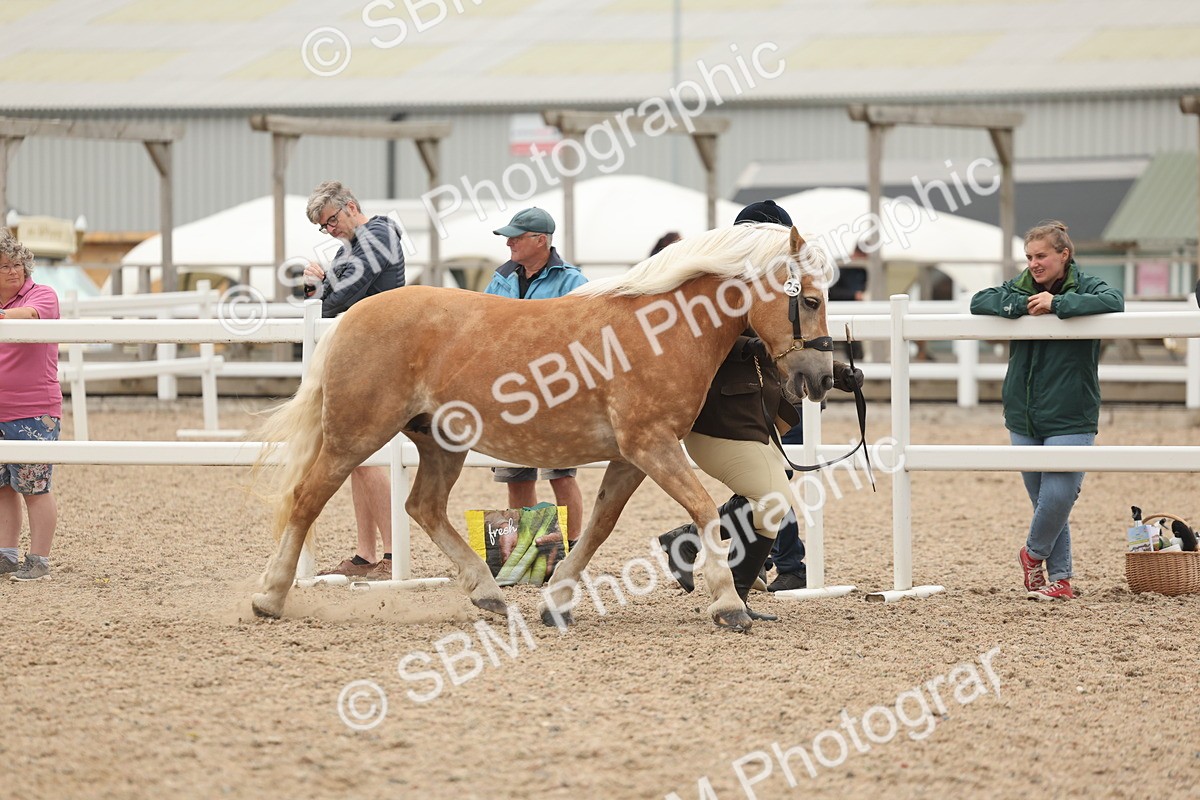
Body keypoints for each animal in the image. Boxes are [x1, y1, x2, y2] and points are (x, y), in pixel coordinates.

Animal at [252, 223, 834, 632]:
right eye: (809, 299)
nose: (822, 378)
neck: (661, 329)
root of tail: (351, 317)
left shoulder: (632, 458)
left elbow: (598, 526)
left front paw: (556, 603)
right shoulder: (652, 446)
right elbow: (704, 510)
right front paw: (729, 604)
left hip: (441, 442)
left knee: (423, 507)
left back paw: (487, 592)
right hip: (355, 435)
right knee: (306, 500)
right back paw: (270, 597)